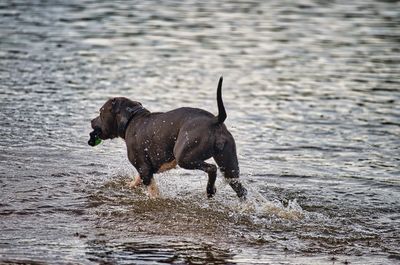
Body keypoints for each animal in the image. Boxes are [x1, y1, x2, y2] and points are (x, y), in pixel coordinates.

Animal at [89, 76, 247, 198]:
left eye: (101, 112)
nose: (91, 121)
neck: (131, 117)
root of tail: (215, 120)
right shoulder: (146, 170)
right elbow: (137, 180)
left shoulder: (144, 170)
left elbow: (153, 191)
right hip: (229, 167)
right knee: (240, 189)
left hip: (185, 157)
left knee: (212, 168)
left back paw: (209, 190)